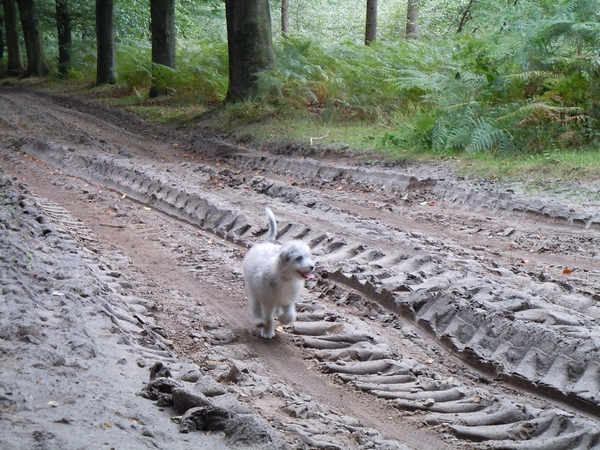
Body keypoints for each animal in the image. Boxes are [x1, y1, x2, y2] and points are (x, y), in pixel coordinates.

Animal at [244, 207, 318, 338]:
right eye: (299, 258)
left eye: (308, 256)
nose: (312, 267)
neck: (285, 278)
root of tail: (267, 243)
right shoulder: (268, 300)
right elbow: (268, 318)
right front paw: (267, 331)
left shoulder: (288, 298)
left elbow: (290, 314)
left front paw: (283, 319)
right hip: (253, 289)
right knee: (256, 306)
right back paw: (259, 322)